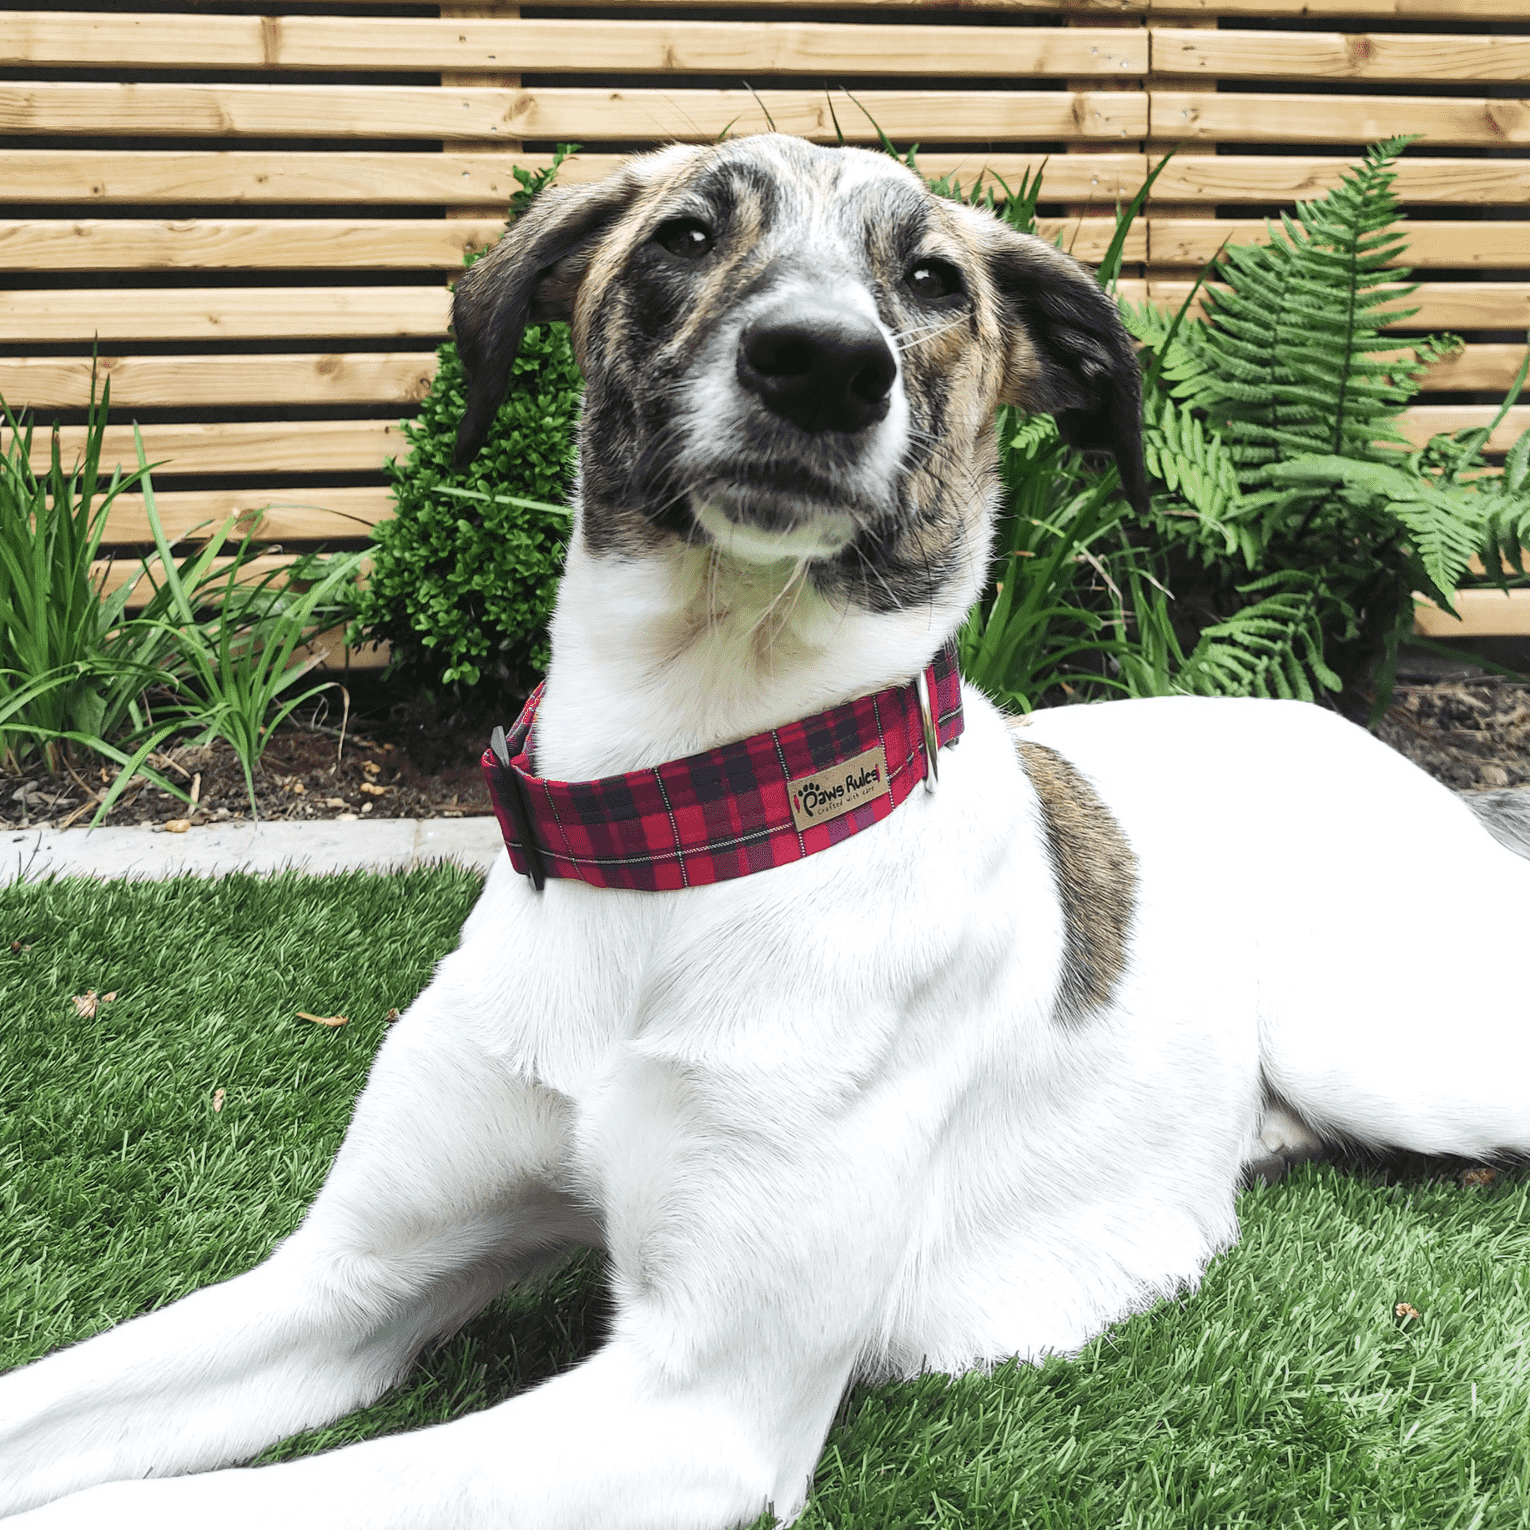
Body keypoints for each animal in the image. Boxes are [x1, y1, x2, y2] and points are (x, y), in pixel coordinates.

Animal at [2, 131, 1530, 1530]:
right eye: (685, 235)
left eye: (931, 278)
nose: (821, 363)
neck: (679, 819)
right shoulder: (345, 1278)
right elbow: (57, 1401)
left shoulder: (697, 1399)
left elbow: (206, 1502)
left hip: (1388, 1048)